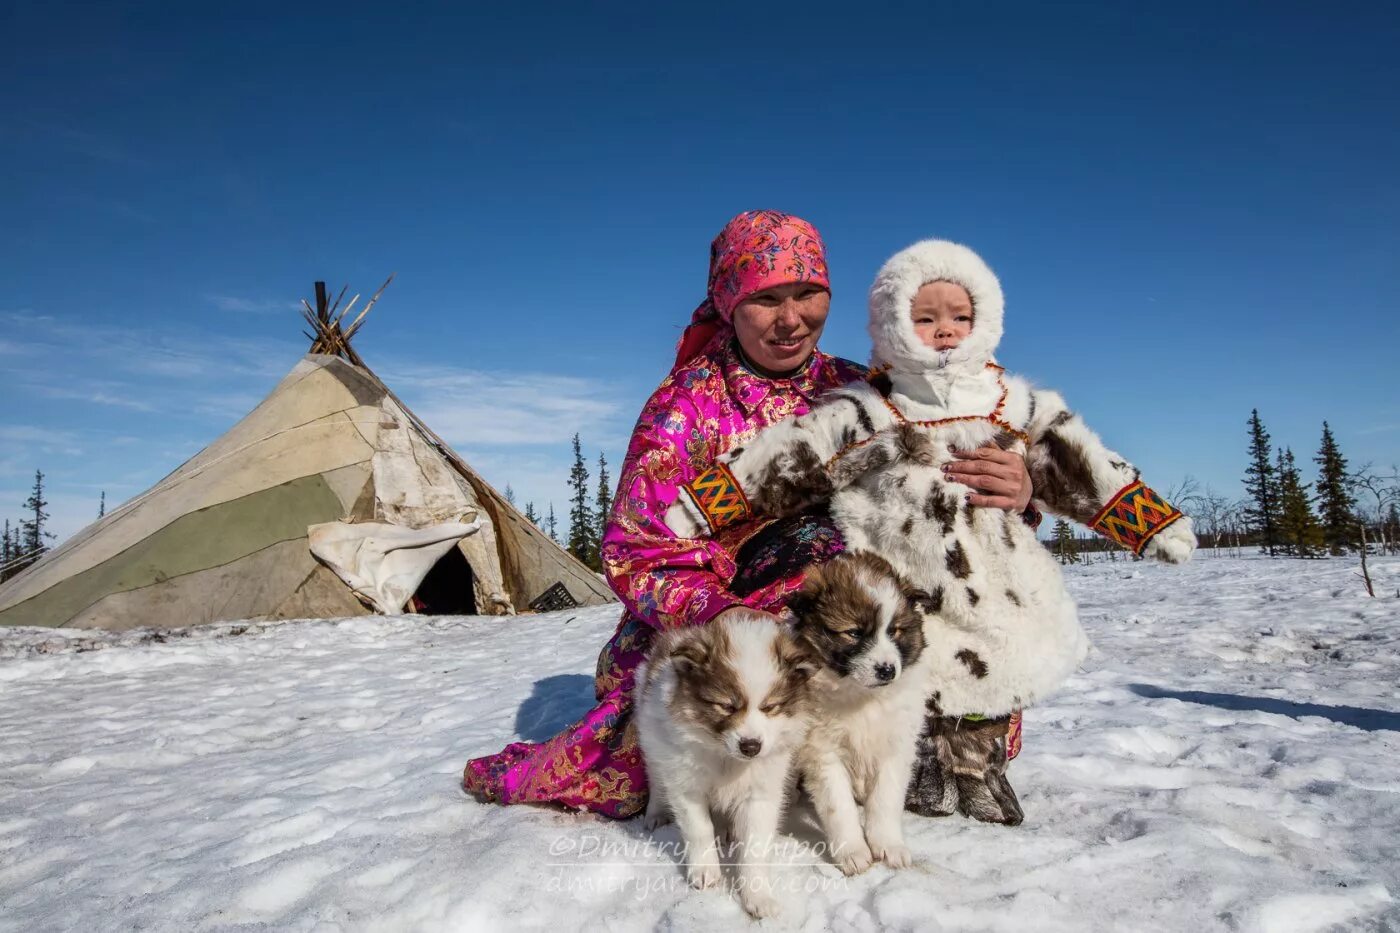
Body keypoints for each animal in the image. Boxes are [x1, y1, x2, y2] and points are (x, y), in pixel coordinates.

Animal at [638, 607, 817, 918]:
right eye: (727, 706)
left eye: (770, 707)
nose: (751, 746)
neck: (726, 757)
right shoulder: (687, 784)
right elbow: (699, 829)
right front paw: (705, 871)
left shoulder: (760, 792)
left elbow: (755, 846)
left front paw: (758, 895)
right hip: (653, 744)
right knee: (657, 780)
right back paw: (656, 813)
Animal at [789, 546, 929, 874]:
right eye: (853, 633)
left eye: (895, 630)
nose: (887, 670)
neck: (862, 698)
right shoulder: (823, 753)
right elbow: (838, 807)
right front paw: (853, 852)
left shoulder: (895, 747)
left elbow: (886, 799)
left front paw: (889, 846)